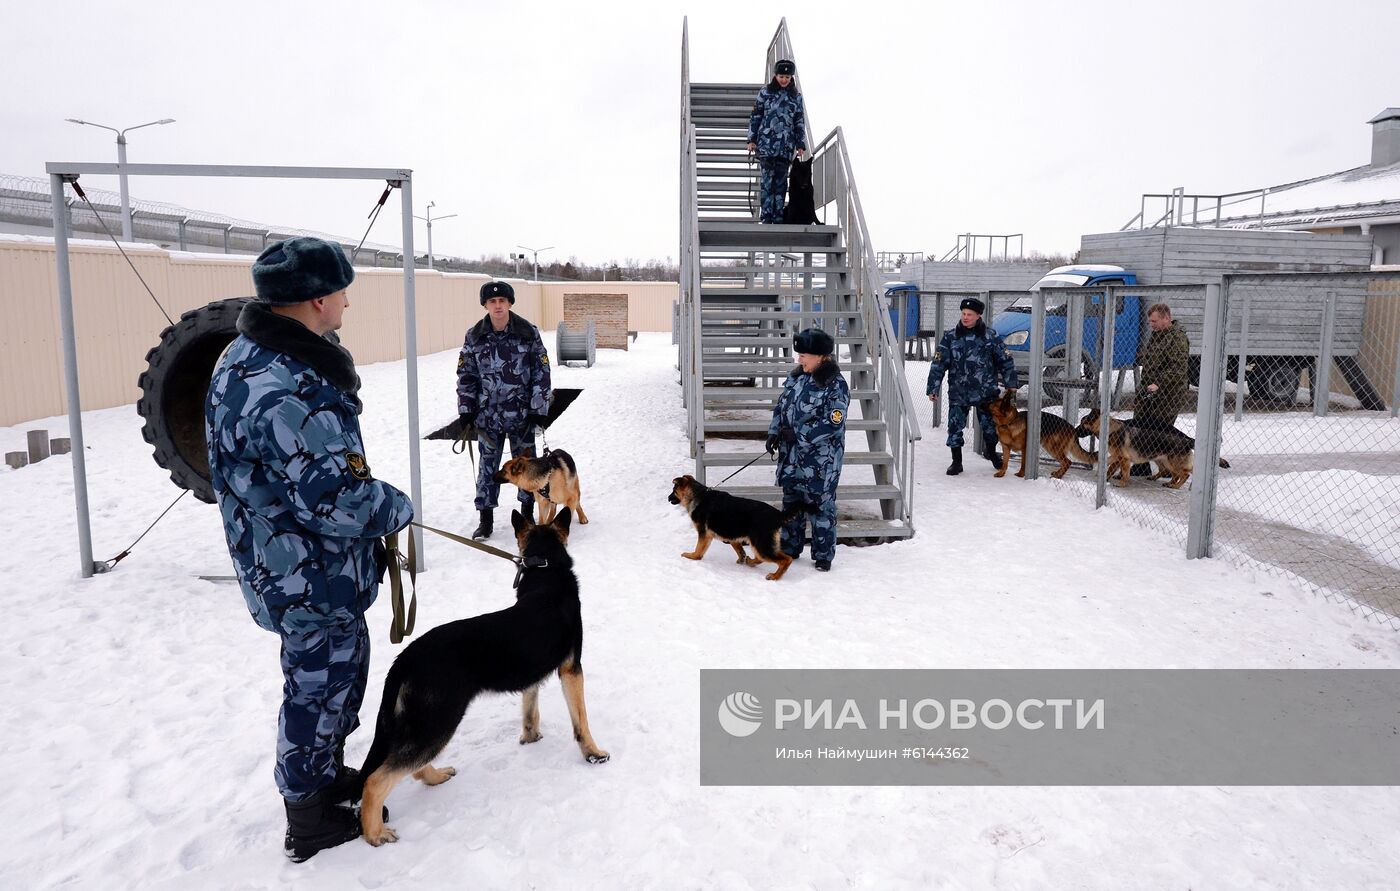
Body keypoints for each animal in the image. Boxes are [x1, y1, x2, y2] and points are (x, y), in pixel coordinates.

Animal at [355, 504, 607, 846]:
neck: (546, 571)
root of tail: (404, 658)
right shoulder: (572, 670)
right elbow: (581, 721)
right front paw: (593, 753)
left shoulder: (532, 677)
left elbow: (530, 709)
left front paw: (530, 737)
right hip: (439, 721)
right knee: (376, 779)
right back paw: (375, 834)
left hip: (425, 723)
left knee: (411, 767)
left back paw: (435, 777)